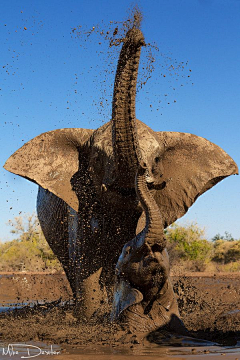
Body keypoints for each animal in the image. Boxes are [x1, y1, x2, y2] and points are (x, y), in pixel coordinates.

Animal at [3, 24, 238, 324]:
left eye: (157, 159)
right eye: (97, 158)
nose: (136, 34)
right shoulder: (78, 205)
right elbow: (86, 259)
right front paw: (90, 318)